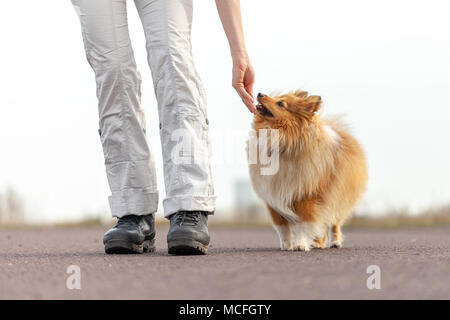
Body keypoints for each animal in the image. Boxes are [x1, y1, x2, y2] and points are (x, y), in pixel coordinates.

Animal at [248, 90, 368, 252]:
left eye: (281, 103)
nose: (260, 93)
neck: (282, 141)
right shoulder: (273, 198)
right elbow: (282, 227)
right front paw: (287, 245)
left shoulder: (306, 196)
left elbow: (304, 225)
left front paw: (300, 245)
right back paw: (317, 243)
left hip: (337, 198)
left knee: (334, 223)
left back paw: (335, 242)